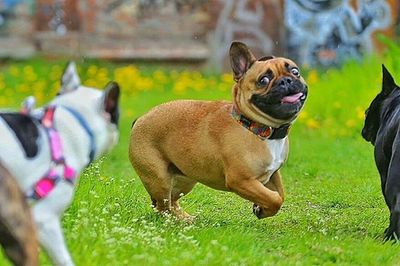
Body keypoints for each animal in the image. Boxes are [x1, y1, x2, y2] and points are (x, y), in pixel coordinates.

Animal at [130, 41, 308, 219]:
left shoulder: (273, 173)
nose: (286, 80)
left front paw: (261, 209)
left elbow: (280, 194)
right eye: (263, 80)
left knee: (172, 202)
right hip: (160, 178)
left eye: (295, 72)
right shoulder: (241, 181)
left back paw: (186, 219)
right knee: (163, 207)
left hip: (185, 178)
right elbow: (274, 199)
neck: (257, 127)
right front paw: (263, 207)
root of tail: (140, 119)